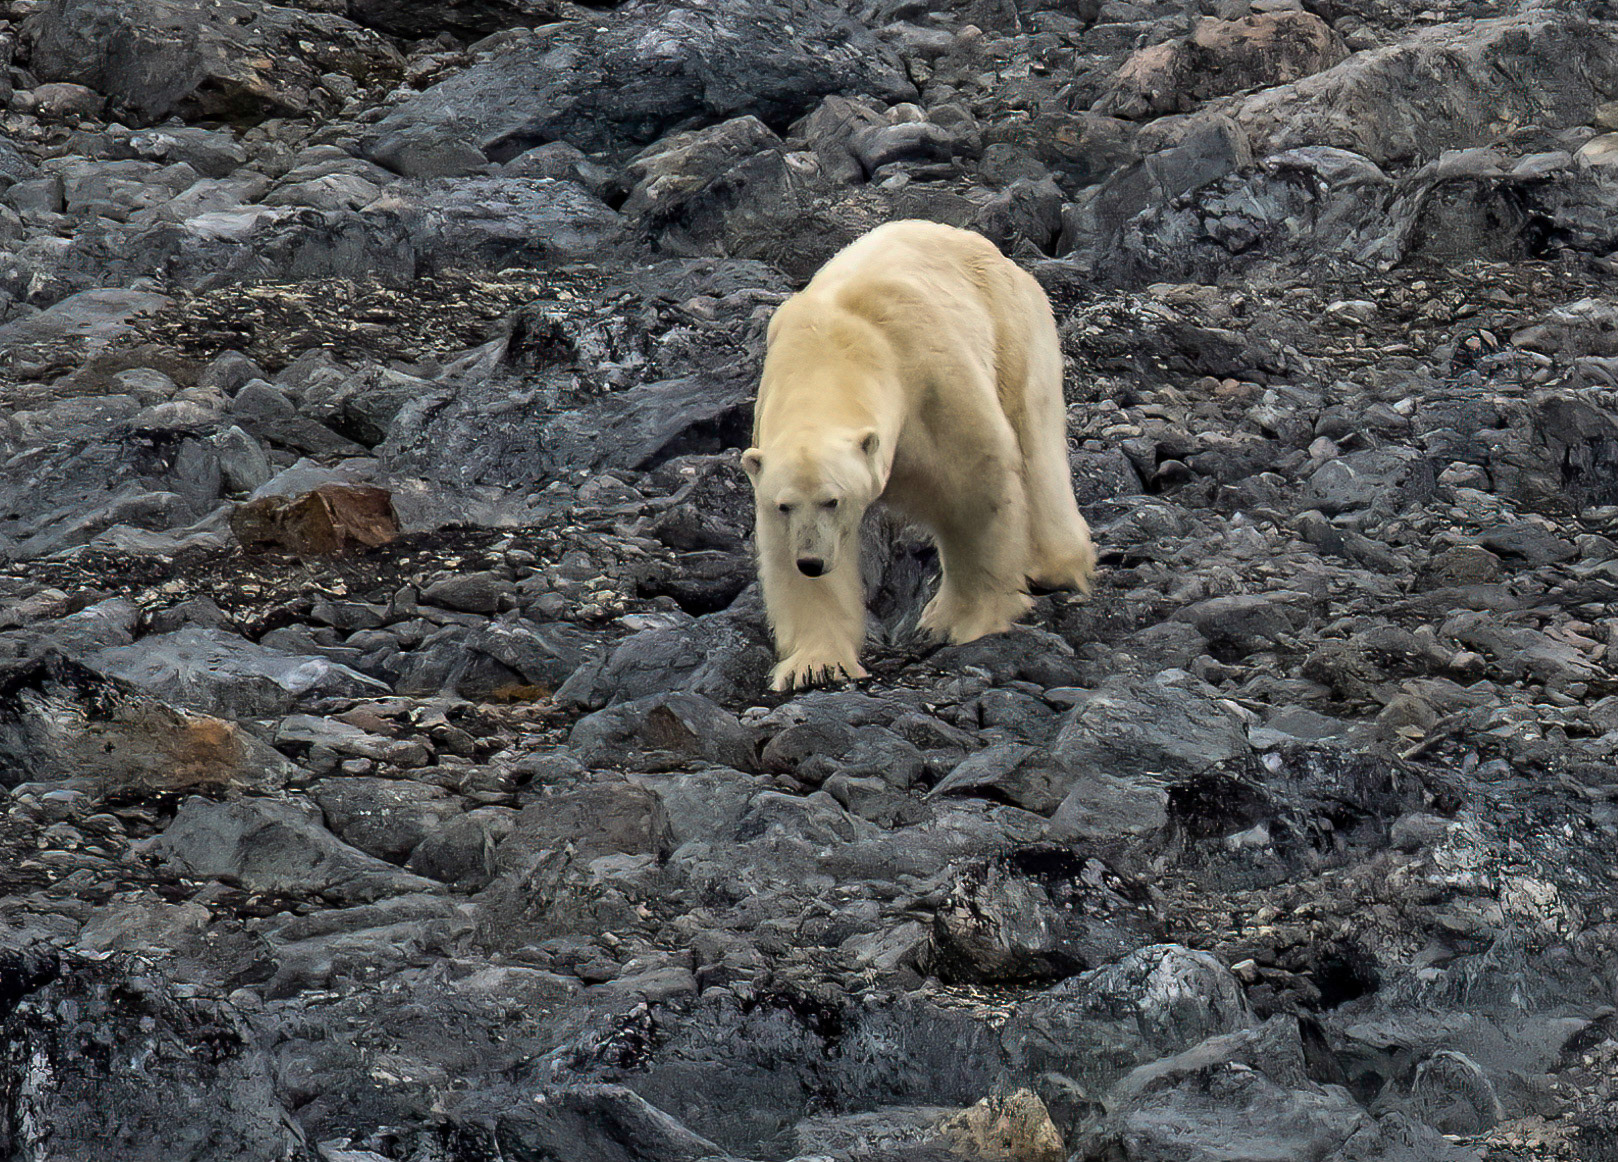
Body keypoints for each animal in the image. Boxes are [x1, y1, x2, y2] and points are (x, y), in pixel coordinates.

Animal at [742, 219, 1096, 691]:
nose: (812, 563)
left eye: (833, 499)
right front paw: (815, 665)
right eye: (785, 504)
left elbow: (973, 486)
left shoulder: (929, 378)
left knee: (1035, 437)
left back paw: (1058, 564)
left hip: (1013, 326)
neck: (834, 348)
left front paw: (961, 618)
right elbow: (786, 554)